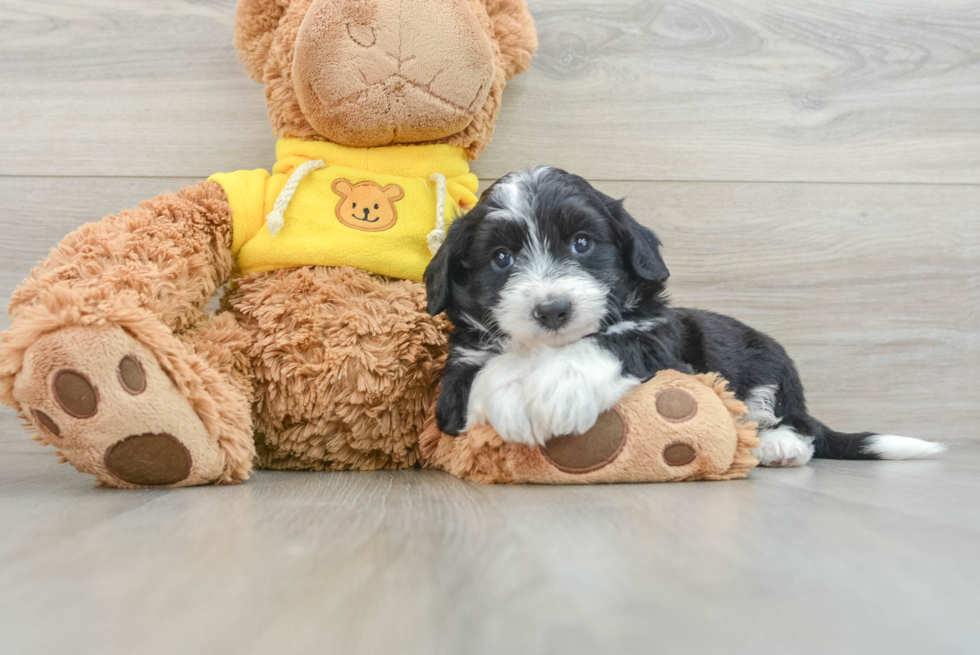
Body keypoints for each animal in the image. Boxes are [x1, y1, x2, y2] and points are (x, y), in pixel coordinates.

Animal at [424, 167, 944, 468]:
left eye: (582, 243)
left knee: (798, 424)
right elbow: (480, 377)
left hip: (771, 364)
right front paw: (513, 397)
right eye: (502, 258)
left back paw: (777, 445)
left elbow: (613, 341)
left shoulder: (665, 348)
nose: (552, 309)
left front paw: (558, 388)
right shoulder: (456, 376)